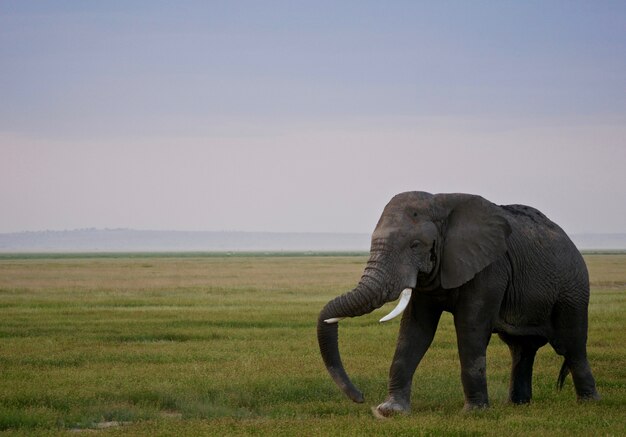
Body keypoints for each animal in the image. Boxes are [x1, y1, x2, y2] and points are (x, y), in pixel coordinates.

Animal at [320, 191, 596, 416]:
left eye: (415, 245)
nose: (360, 397)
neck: (440, 206)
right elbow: (414, 332)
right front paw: (391, 411)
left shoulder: (489, 268)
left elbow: (470, 328)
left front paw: (474, 412)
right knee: (521, 349)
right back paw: (517, 405)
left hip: (573, 290)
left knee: (572, 345)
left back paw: (588, 403)